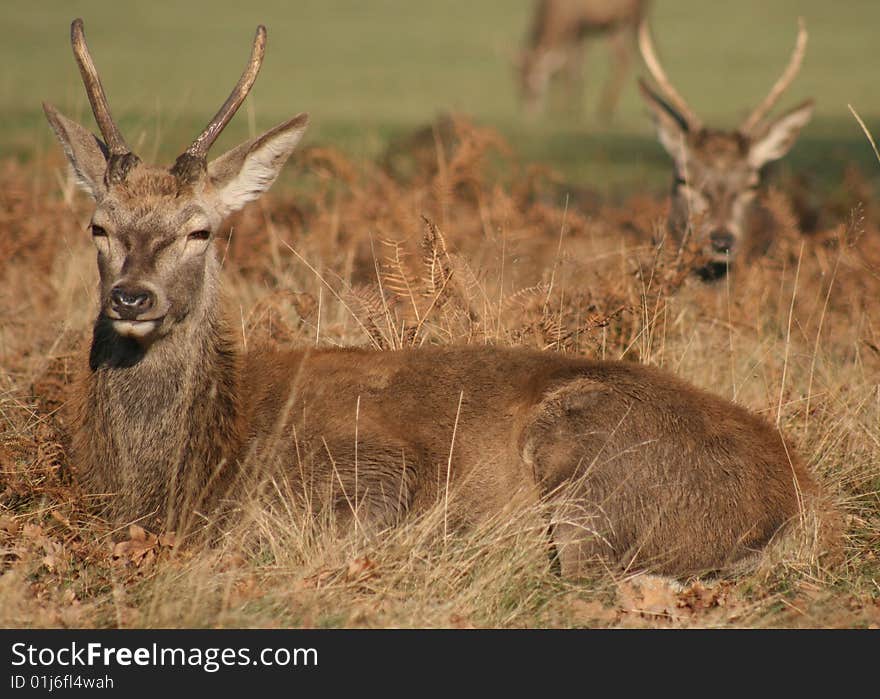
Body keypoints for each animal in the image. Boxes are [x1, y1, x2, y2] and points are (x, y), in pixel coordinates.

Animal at [512, 0, 648, 119]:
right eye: (518, 84)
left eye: (536, 83)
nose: (528, 113)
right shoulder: (581, 32)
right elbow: (572, 68)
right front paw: (571, 108)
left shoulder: (575, 28)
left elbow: (569, 67)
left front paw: (565, 110)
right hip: (614, 26)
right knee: (622, 59)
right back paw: (605, 109)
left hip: (635, 17)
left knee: (632, 55)